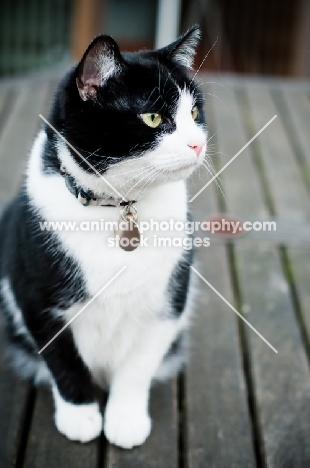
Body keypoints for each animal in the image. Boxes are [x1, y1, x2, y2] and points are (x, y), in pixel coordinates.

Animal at [0, 26, 208, 450]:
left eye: (195, 114)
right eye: (153, 117)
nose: (198, 143)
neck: (116, 207)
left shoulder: (167, 303)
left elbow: (137, 368)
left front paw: (125, 420)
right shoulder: (34, 298)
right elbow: (63, 361)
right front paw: (80, 416)